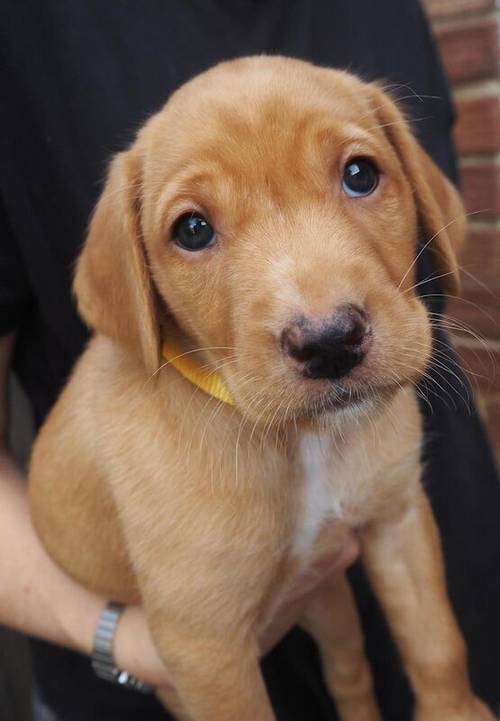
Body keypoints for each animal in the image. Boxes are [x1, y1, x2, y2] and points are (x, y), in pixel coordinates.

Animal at [29, 57, 494, 720]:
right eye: (193, 230)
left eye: (360, 174)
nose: (329, 341)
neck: (303, 443)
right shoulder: (204, 646)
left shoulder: (397, 517)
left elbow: (437, 645)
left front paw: (457, 712)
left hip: (329, 601)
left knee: (350, 674)